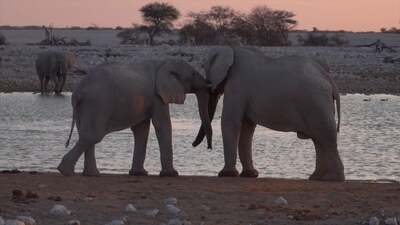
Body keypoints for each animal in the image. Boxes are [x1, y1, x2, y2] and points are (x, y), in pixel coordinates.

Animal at [57, 59, 212, 177]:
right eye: (193, 73)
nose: (208, 148)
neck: (164, 63)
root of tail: (78, 91)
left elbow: (141, 130)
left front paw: (139, 173)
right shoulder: (157, 96)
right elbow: (162, 125)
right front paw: (171, 174)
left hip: (85, 107)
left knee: (87, 135)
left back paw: (91, 174)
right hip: (97, 103)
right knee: (93, 135)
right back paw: (65, 171)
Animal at [193, 47, 344, 181]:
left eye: (204, 68)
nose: (205, 147)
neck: (232, 50)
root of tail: (328, 78)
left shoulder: (237, 86)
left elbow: (231, 122)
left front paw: (226, 174)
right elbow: (247, 128)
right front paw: (250, 175)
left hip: (316, 101)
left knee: (325, 137)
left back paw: (332, 178)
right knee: (319, 140)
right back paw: (317, 177)